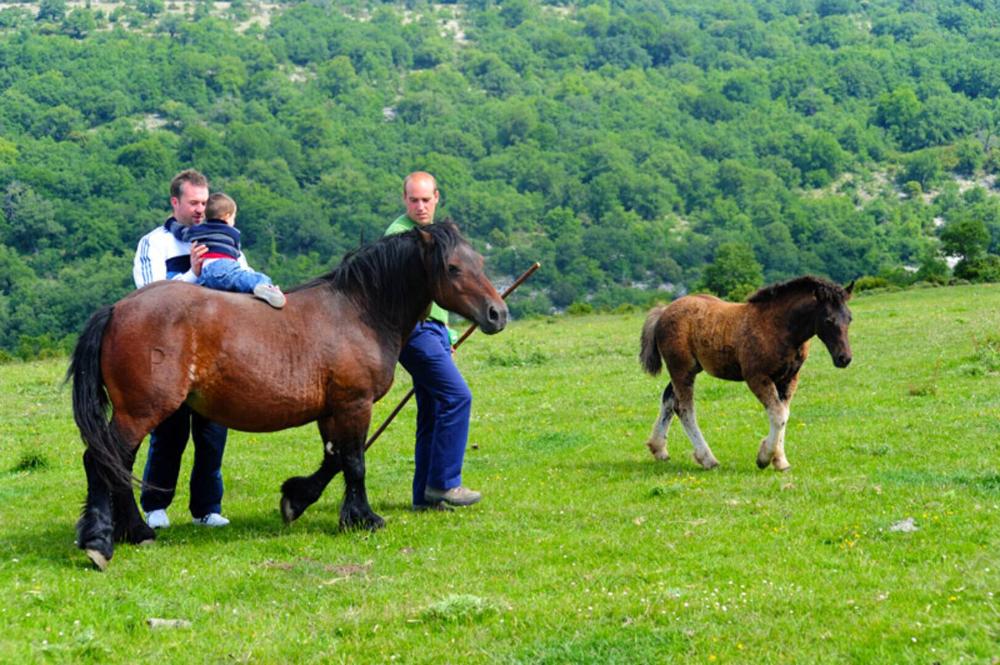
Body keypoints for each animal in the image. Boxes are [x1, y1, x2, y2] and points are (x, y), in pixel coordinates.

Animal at [68, 222, 508, 564]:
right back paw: (103, 540)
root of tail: (118, 309)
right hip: (141, 411)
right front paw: (363, 518)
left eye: (481, 263)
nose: (497, 313)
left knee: (117, 462)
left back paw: (133, 532)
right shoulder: (355, 405)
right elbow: (355, 463)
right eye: (452, 267)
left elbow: (335, 460)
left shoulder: (333, 411)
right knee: (102, 460)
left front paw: (297, 499)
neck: (358, 311)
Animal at [640, 274, 852, 472]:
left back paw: (659, 449)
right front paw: (764, 458)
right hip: (682, 369)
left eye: (849, 318)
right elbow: (778, 415)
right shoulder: (757, 377)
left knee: (669, 399)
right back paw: (708, 459)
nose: (844, 358)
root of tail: (663, 311)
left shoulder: (789, 378)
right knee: (684, 408)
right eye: (828, 320)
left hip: (688, 369)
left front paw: (780, 461)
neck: (778, 327)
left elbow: (784, 414)